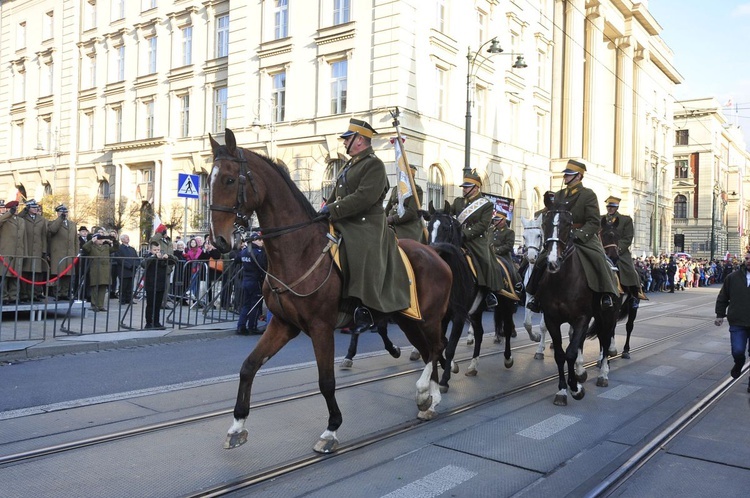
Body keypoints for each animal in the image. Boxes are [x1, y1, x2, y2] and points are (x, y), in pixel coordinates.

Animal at [207, 129, 452, 456]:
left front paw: (331, 429)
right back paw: (430, 399)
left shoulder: (321, 327)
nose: (218, 240)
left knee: (437, 348)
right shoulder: (282, 324)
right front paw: (237, 426)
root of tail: (435, 253)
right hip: (409, 321)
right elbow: (248, 366)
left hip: (429, 318)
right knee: (428, 351)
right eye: (209, 180)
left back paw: (426, 392)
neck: (299, 250)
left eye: (230, 179)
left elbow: (326, 380)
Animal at [426, 202, 520, 390]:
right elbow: (441, 343)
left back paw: (508, 358)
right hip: (476, 311)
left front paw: (445, 379)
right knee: (479, 333)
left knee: (506, 329)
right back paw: (472, 366)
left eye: (446, 228)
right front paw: (451, 366)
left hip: (506, 306)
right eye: (428, 227)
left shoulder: (459, 315)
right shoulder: (443, 316)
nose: (432, 252)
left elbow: (450, 346)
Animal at [536, 202, 620, 404]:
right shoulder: (551, 319)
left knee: (606, 340)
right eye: (545, 223)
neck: (562, 280)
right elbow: (560, 354)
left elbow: (571, 352)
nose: (552, 261)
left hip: (608, 316)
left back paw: (603, 374)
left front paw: (575, 388)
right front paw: (562, 390)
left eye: (568, 224)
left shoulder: (582, 318)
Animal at [600, 218, 640, 358]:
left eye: (618, 236)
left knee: (629, 326)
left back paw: (625, 350)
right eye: (604, 235)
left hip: (632, 306)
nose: (614, 256)